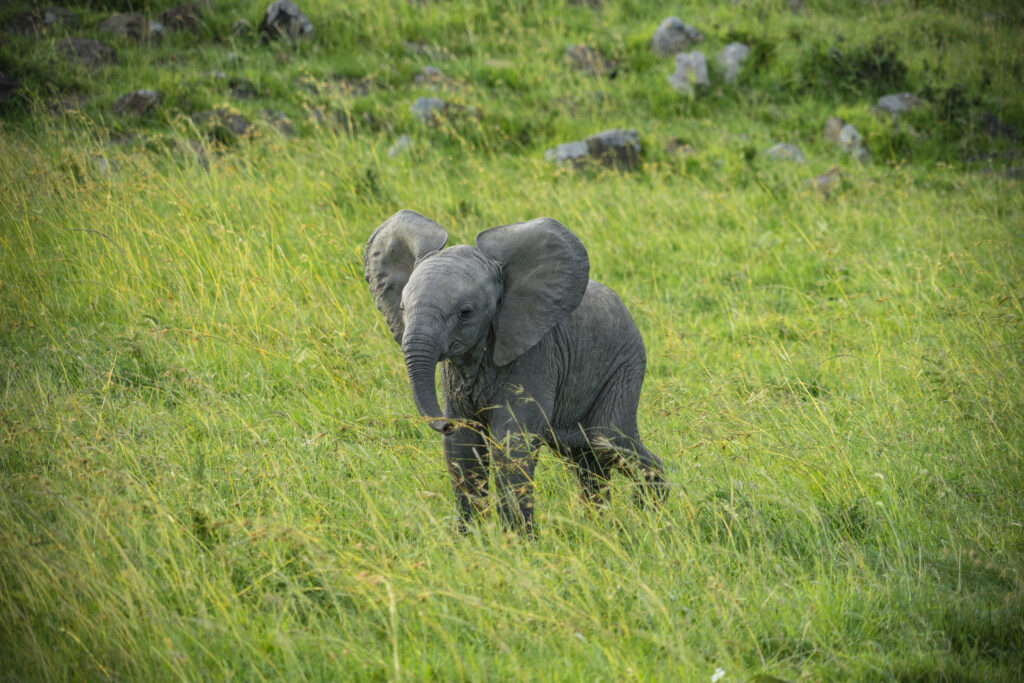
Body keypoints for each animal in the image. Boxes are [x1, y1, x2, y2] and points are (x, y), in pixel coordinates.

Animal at [363, 209, 667, 532]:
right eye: (402, 309)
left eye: (465, 313)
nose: (445, 423)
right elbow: (464, 446)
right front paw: (469, 537)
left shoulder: (535, 355)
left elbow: (510, 441)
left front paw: (517, 540)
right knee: (587, 459)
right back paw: (600, 525)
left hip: (624, 366)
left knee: (609, 442)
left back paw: (652, 517)